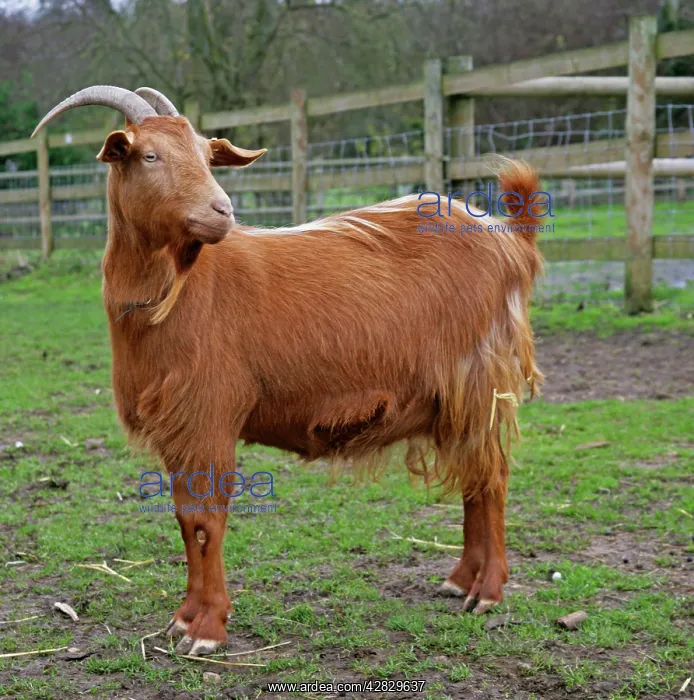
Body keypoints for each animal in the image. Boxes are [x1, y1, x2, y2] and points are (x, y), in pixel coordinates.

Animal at [33, 86, 543, 656]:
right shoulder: (179, 428)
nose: (222, 211)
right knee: (476, 479)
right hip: (454, 401)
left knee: (492, 477)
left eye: (207, 156)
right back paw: (460, 580)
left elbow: (208, 521)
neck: (178, 292)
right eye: (149, 155)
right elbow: (186, 520)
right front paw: (183, 621)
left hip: (479, 382)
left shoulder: (210, 416)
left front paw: (207, 629)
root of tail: (509, 236)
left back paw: (488, 591)